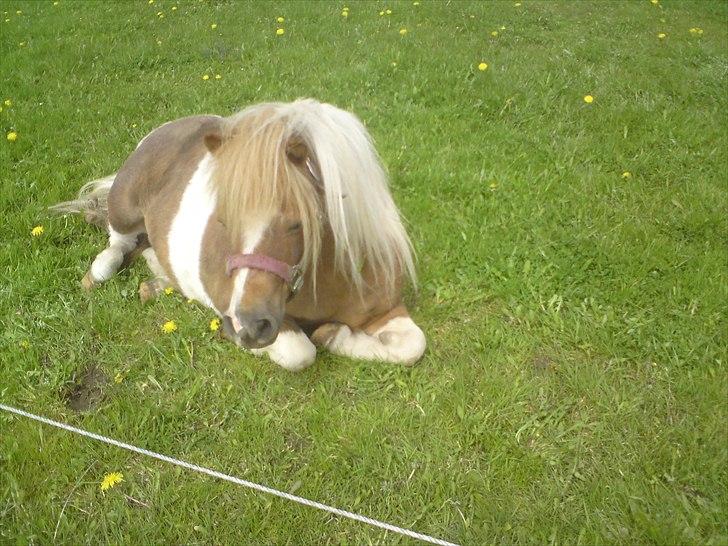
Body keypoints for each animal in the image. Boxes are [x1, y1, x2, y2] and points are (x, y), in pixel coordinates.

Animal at [54, 98, 430, 370]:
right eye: (222, 219)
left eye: (297, 223)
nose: (250, 326)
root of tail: (164, 129)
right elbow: (299, 352)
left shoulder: (386, 309)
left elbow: (413, 345)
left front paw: (335, 334)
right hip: (124, 208)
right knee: (117, 241)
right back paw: (99, 272)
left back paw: (157, 284)